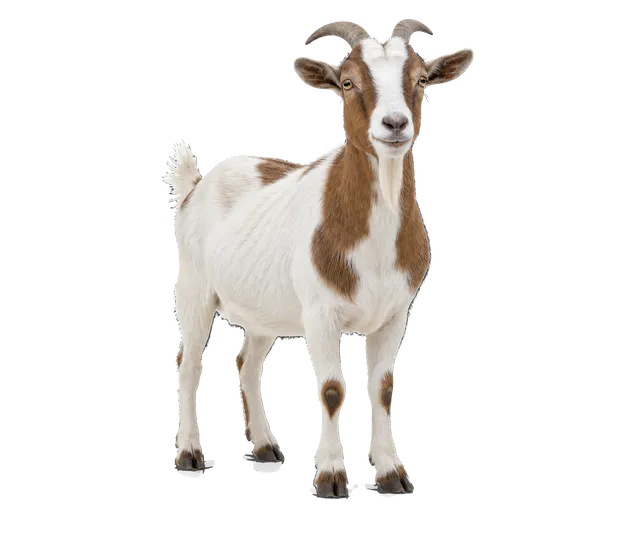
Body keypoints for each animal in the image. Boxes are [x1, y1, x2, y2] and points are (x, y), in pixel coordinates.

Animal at [165, 18, 474, 497]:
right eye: (347, 82)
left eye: (421, 79)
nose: (395, 123)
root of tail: (196, 184)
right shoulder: (321, 313)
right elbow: (330, 389)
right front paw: (331, 478)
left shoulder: (394, 315)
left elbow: (383, 388)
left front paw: (391, 474)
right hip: (195, 288)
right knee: (186, 364)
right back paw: (188, 453)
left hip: (265, 308)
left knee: (247, 364)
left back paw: (265, 447)